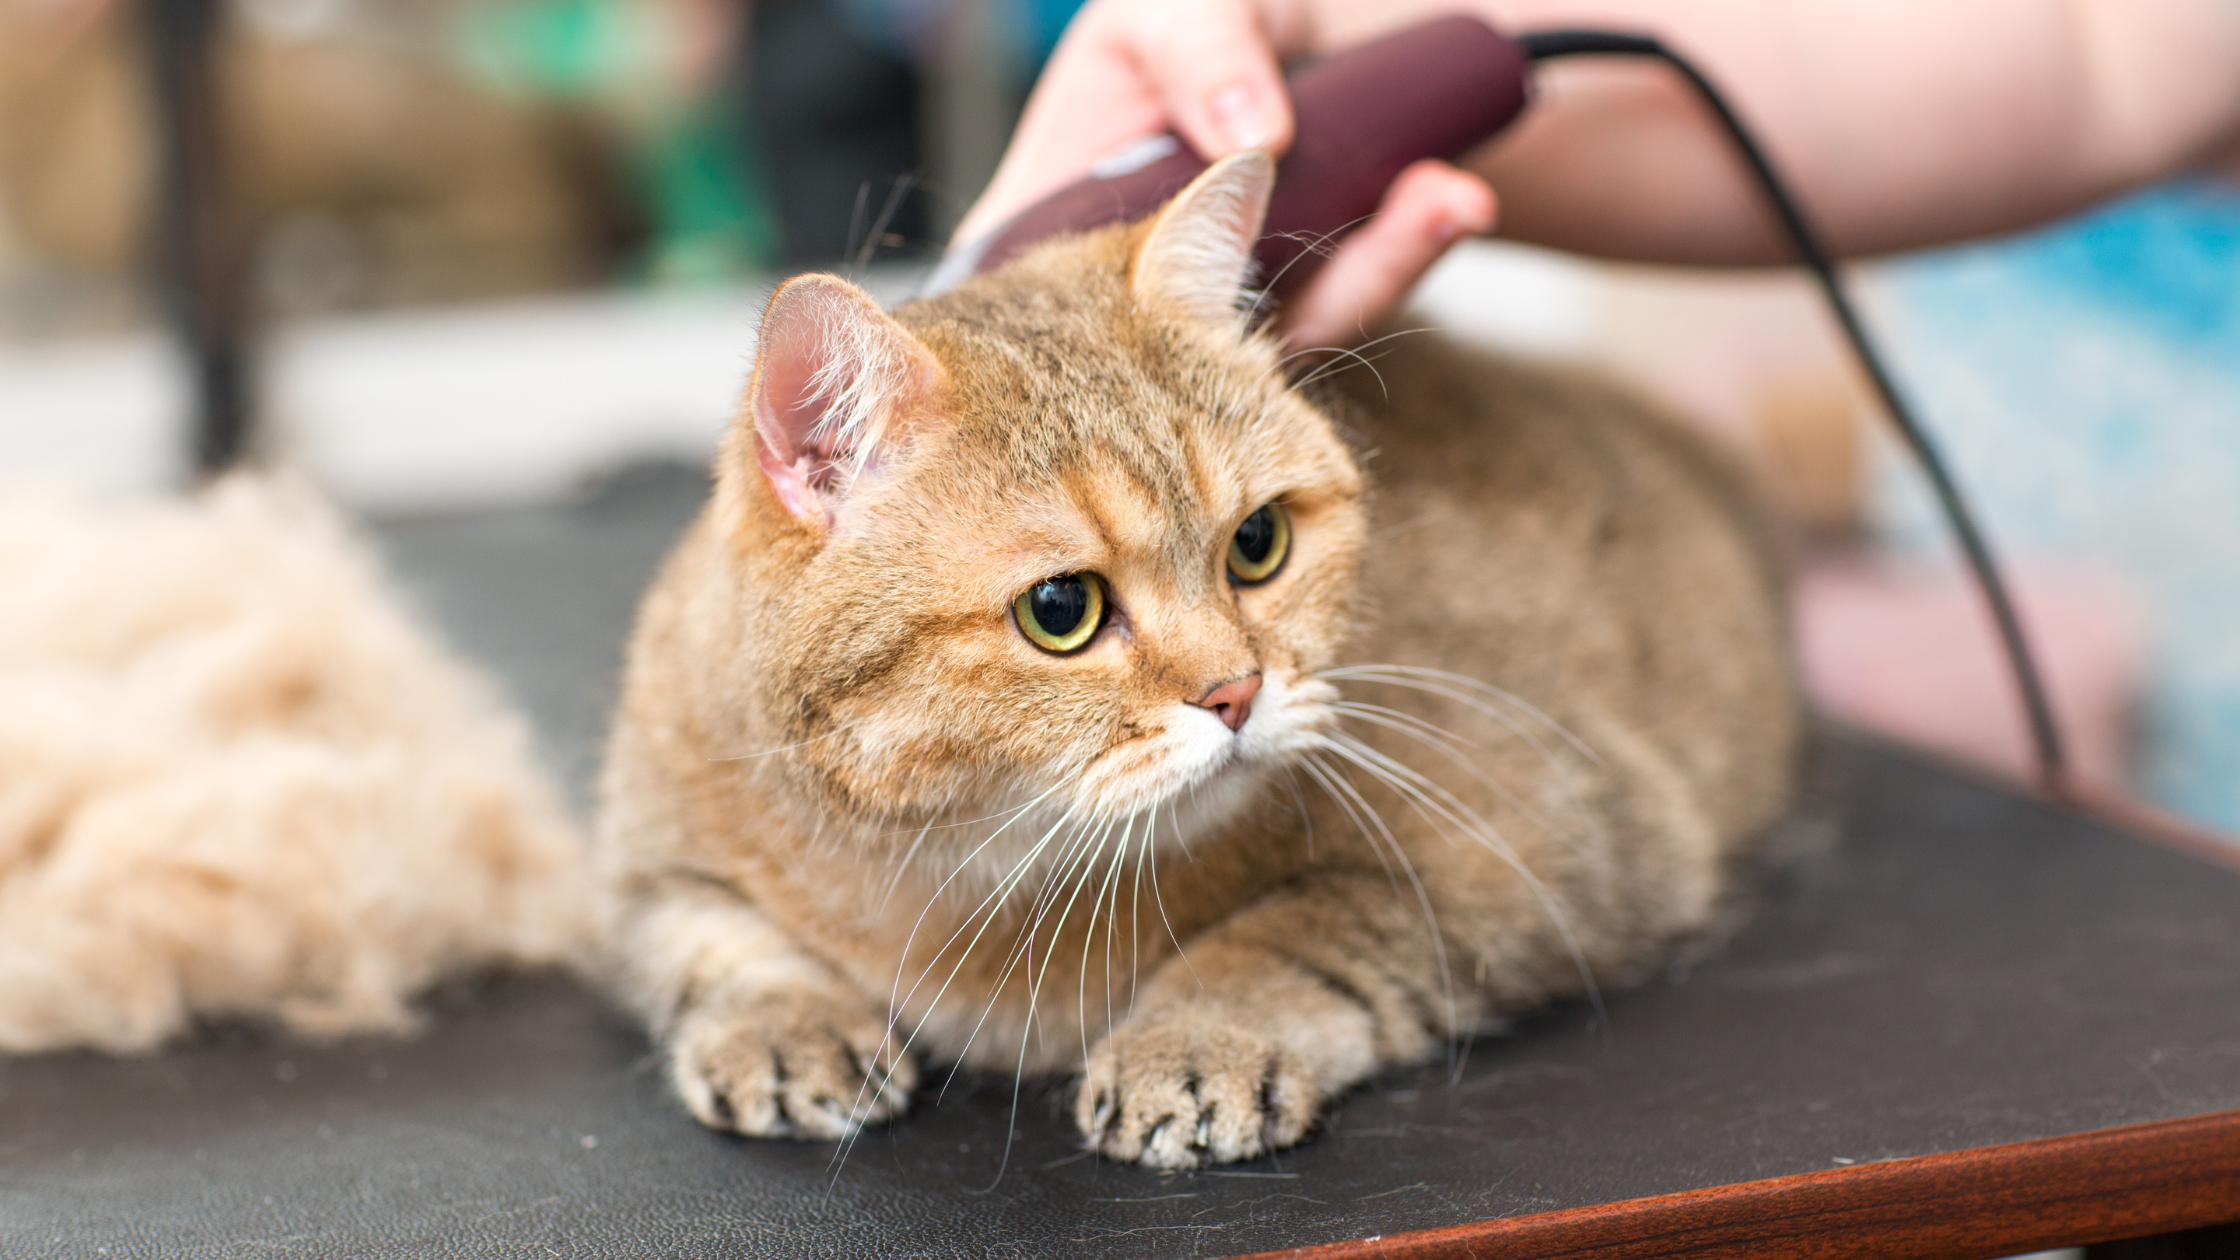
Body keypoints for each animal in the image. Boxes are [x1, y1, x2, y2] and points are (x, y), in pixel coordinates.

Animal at [595, 149, 1800, 1165]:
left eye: (1257, 542)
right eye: (1061, 609)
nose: (1237, 692)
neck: (954, 872)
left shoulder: (1545, 839)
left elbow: (1301, 930)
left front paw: (1194, 1036)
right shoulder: (647, 857)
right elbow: (706, 939)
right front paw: (779, 1019)